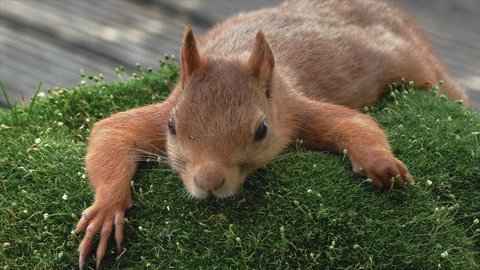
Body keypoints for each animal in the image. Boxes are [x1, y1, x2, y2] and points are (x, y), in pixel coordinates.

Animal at [74, 0, 468, 268]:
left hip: (412, 65)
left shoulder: (293, 109)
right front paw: (106, 210)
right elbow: (111, 133)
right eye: (172, 126)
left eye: (262, 130)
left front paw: (380, 164)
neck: (233, 54)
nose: (208, 182)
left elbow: (357, 125)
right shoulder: (161, 110)